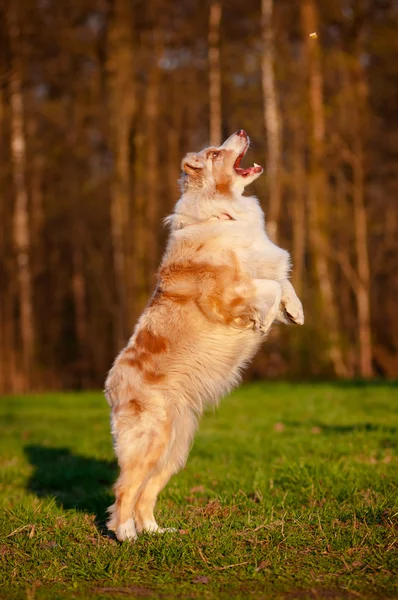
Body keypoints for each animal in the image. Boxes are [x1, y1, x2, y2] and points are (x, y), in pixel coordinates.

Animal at [104, 129, 304, 540]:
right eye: (214, 153)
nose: (241, 131)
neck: (224, 212)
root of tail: (110, 385)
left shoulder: (263, 267)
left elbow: (282, 281)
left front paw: (295, 311)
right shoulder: (224, 294)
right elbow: (269, 287)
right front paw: (264, 320)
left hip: (176, 447)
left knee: (147, 492)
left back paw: (156, 532)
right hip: (151, 440)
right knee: (124, 489)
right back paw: (126, 534)